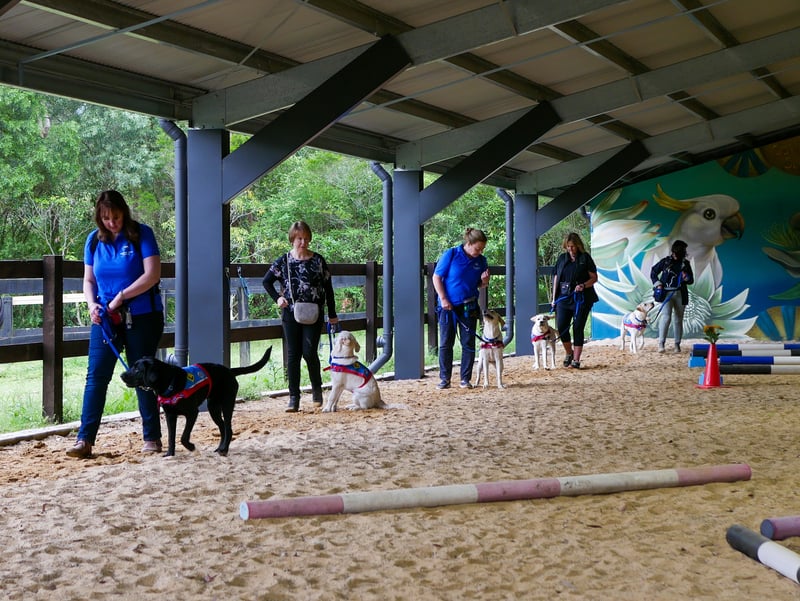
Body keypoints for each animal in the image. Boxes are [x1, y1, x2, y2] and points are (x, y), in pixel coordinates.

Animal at [120, 346, 272, 454]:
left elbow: (183, 436)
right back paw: (220, 448)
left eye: (137, 369)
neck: (171, 383)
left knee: (228, 428)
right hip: (213, 408)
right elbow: (171, 437)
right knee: (222, 427)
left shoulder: (193, 413)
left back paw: (224, 450)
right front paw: (169, 454)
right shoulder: (170, 415)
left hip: (227, 404)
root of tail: (229, 371)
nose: (121, 375)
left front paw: (191, 447)